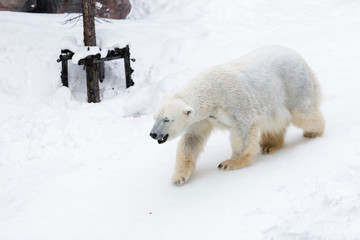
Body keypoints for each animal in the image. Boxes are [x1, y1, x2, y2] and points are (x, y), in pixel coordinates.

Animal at [150, 46, 324, 187]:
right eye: (155, 117)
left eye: (167, 119)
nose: (153, 134)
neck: (211, 94)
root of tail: (298, 55)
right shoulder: (203, 118)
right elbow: (191, 140)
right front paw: (179, 177)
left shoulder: (235, 100)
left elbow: (243, 131)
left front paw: (230, 163)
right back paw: (269, 145)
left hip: (294, 86)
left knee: (302, 114)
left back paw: (313, 132)